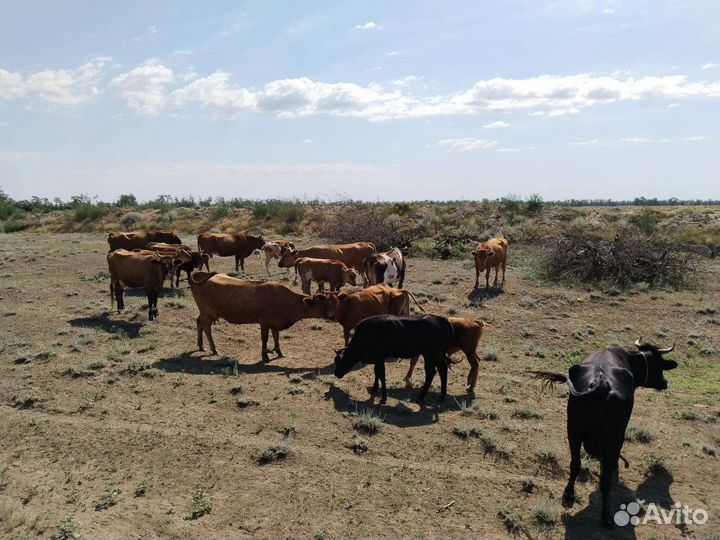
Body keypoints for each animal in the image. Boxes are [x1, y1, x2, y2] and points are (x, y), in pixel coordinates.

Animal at [188, 271, 334, 361]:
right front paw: (265, 356)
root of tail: (201, 273)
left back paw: (201, 346)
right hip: (207, 313)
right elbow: (265, 338)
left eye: (333, 302)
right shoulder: (264, 322)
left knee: (199, 323)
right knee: (206, 327)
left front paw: (279, 352)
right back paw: (214, 349)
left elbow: (276, 337)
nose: (333, 316)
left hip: (205, 313)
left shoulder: (275, 322)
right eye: (323, 304)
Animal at [531, 339, 678, 528]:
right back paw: (606, 516)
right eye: (659, 365)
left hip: (573, 429)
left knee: (575, 463)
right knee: (606, 478)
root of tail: (601, 382)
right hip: (614, 437)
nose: (665, 383)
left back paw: (569, 494)